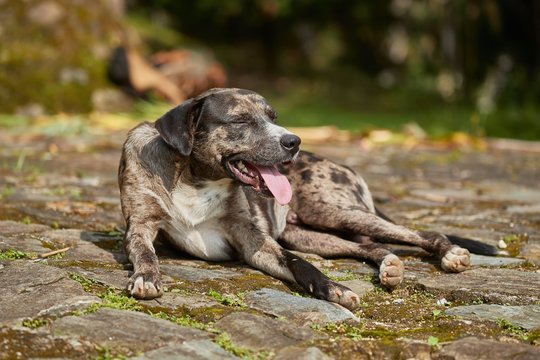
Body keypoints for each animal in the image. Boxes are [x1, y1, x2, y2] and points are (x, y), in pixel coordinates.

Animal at [119, 87, 480, 310]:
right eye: (239, 120)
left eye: (273, 117)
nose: (293, 141)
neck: (195, 178)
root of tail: (343, 165)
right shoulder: (139, 227)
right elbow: (146, 253)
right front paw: (147, 276)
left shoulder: (253, 240)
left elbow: (298, 264)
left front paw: (334, 289)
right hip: (309, 234)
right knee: (371, 247)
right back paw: (388, 266)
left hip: (337, 212)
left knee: (421, 232)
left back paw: (449, 254)